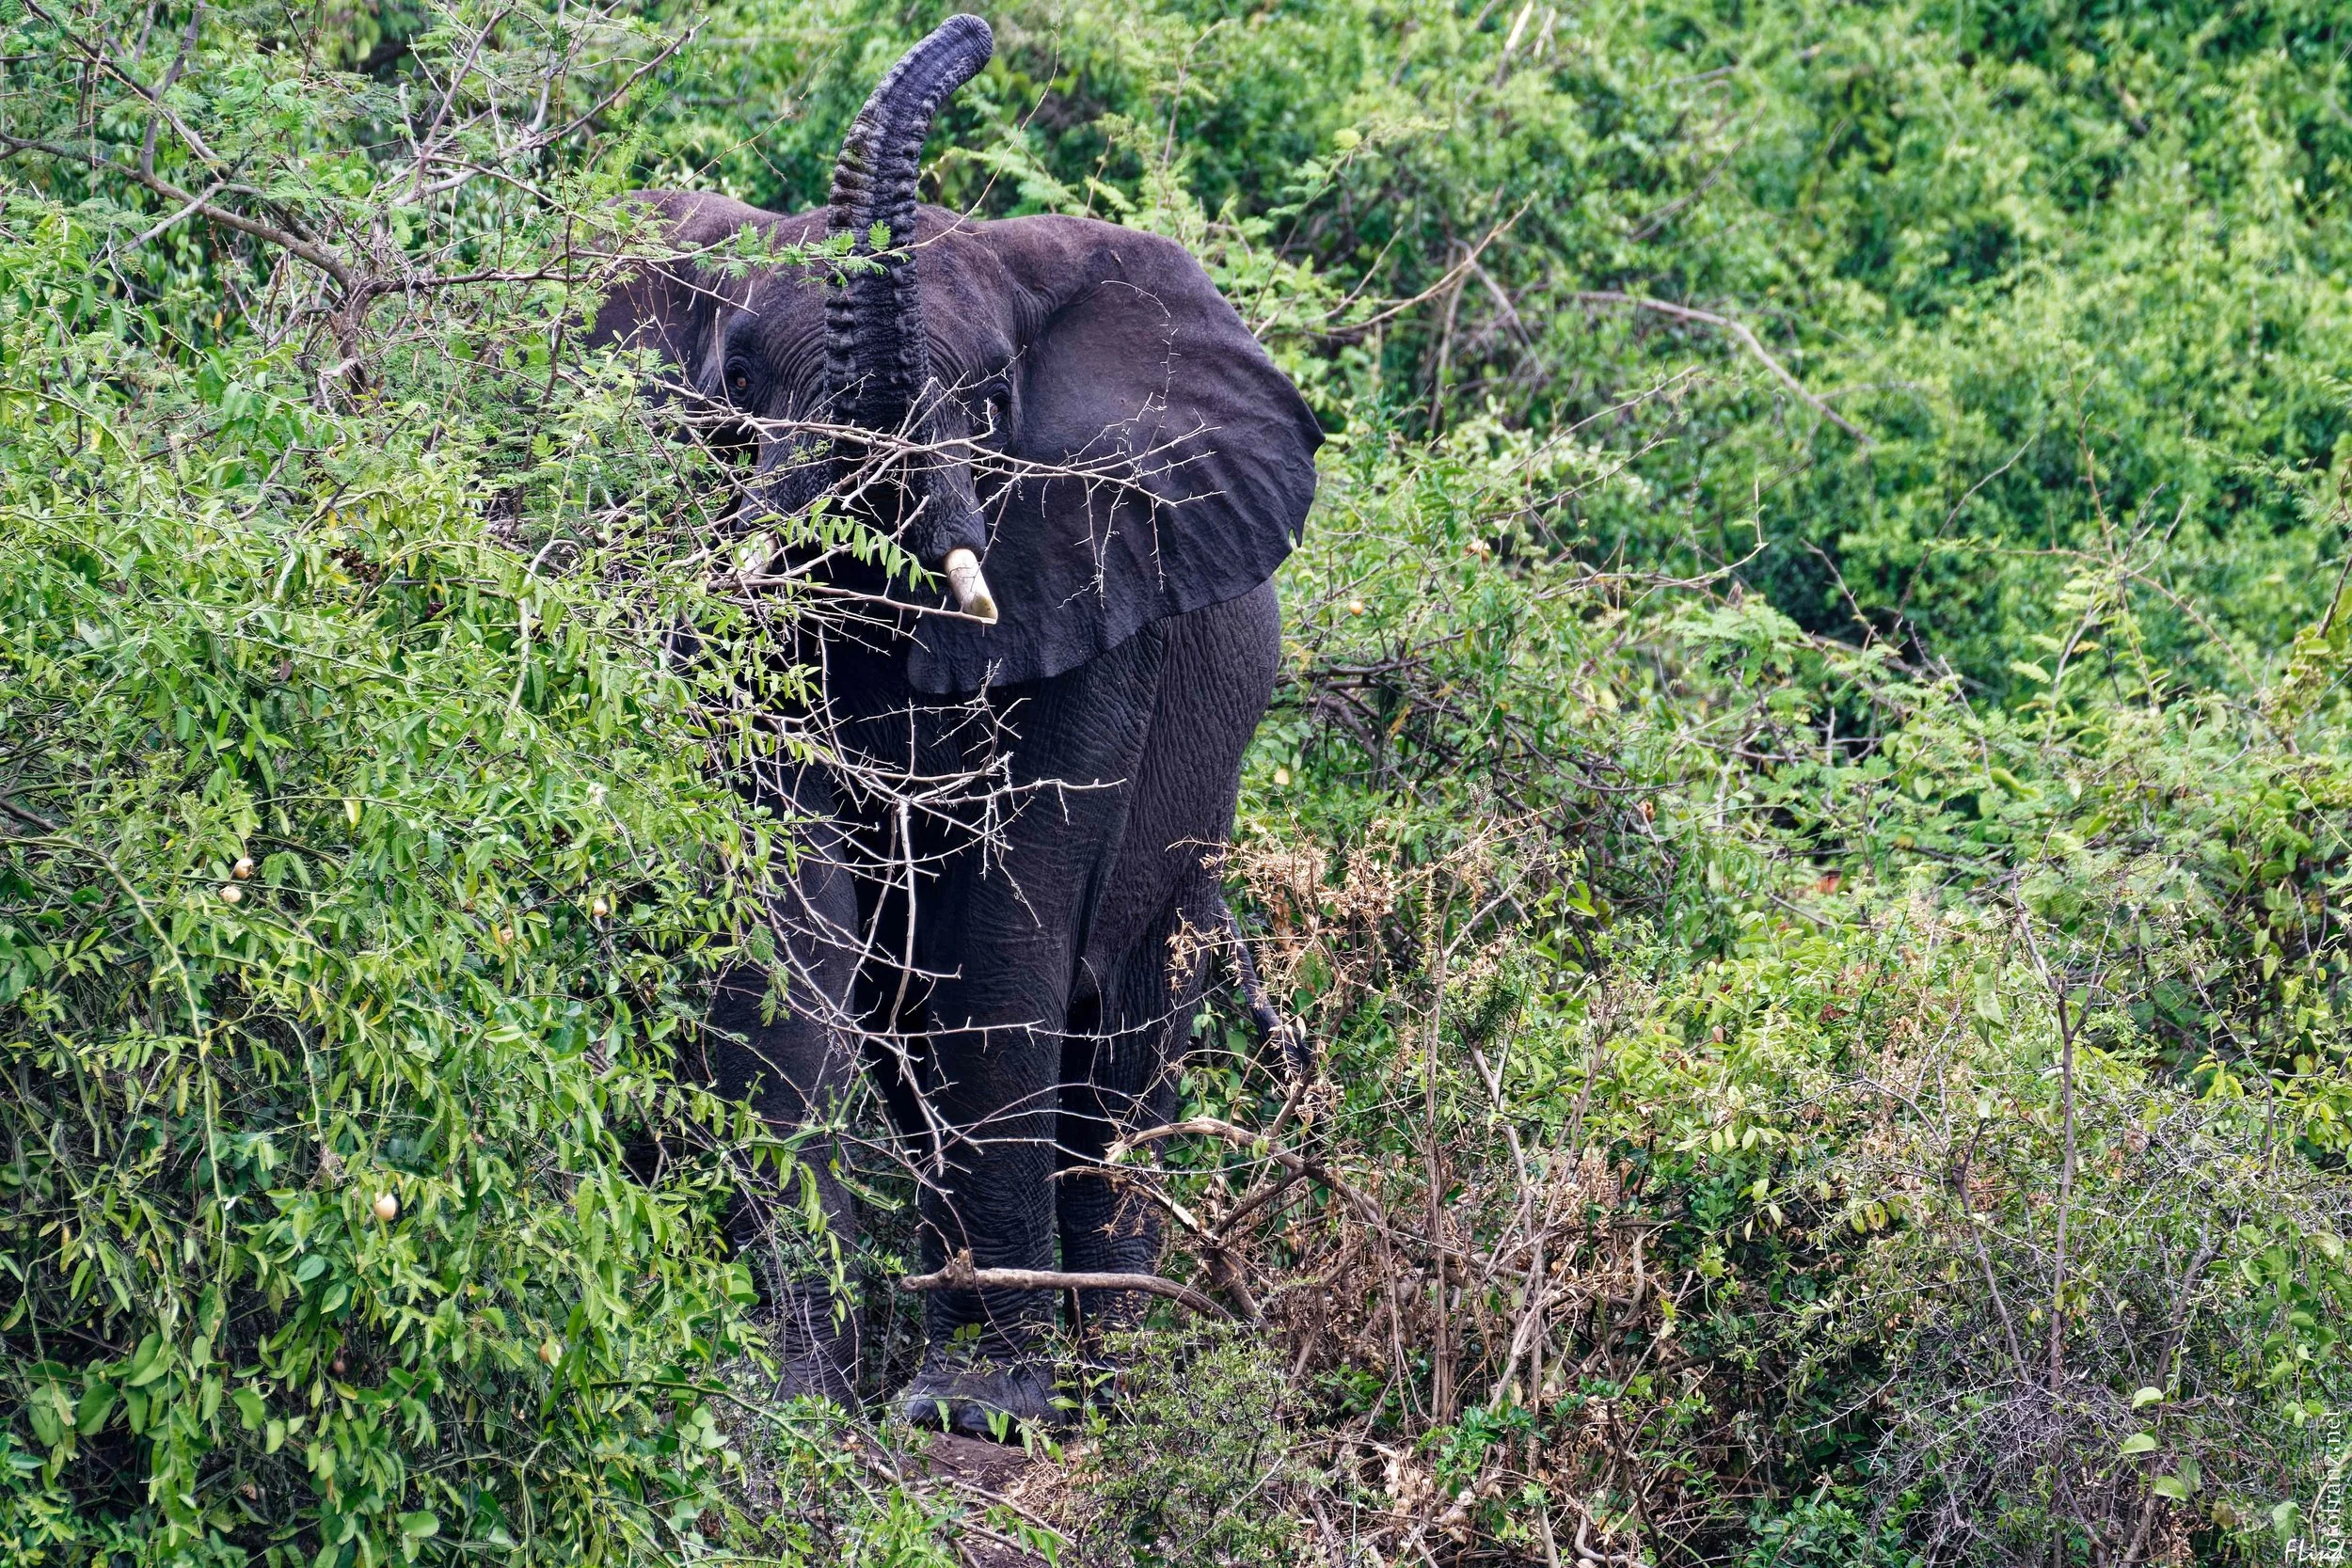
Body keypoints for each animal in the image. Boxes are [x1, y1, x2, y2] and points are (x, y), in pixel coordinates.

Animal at [589, 14, 1320, 1434]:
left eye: (985, 404)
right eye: (738, 384)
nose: (969, 32)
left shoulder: (1101, 585)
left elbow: (1004, 940)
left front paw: (972, 1412)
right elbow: (783, 934)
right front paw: (786, 1403)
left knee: (1121, 1037)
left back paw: (1121, 1381)